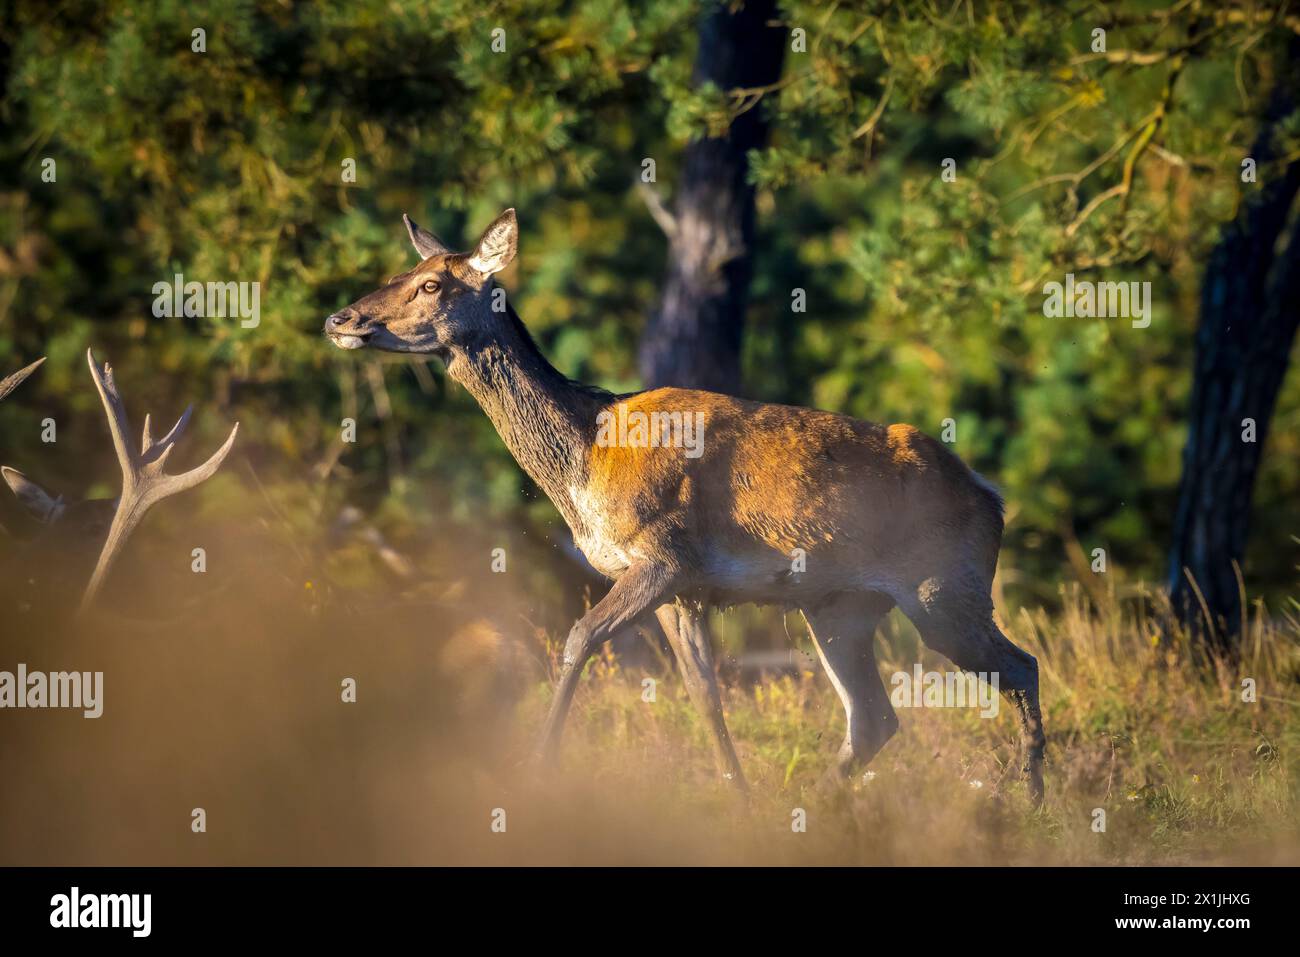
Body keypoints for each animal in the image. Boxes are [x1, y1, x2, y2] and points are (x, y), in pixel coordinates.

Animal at [325, 208, 1045, 800]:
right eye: (400, 272)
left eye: (431, 285)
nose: (340, 319)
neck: (584, 464)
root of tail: (991, 496)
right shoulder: (681, 590)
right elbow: (705, 695)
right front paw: (739, 800)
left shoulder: (664, 554)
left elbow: (578, 639)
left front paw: (539, 768)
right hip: (841, 606)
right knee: (874, 717)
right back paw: (816, 805)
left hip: (943, 587)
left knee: (1020, 665)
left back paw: (1030, 801)